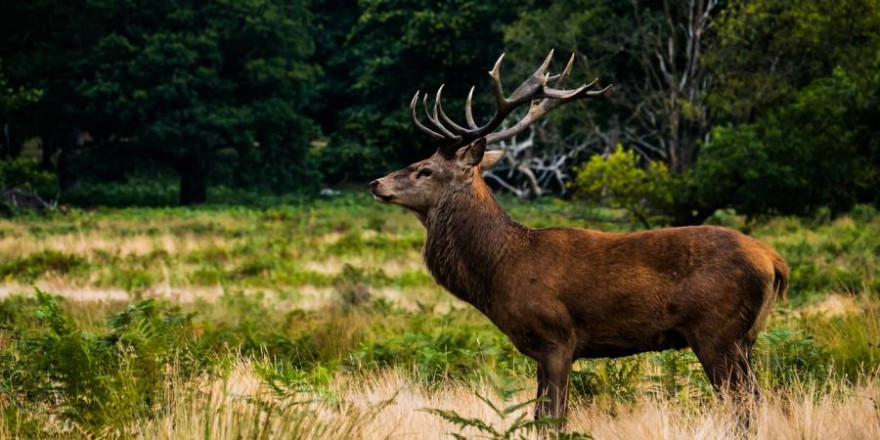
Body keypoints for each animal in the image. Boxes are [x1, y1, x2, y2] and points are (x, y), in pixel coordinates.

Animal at [368, 51, 788, 420]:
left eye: (424, 169)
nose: (376, 183)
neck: (502, 269)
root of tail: (774, 261)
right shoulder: (542, 348)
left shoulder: (556, 337)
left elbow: (552, 418)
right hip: (744, 338)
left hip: (717, 331)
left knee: (743, 407)